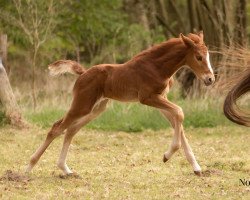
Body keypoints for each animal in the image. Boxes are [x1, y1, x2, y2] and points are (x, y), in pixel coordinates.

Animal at [26, 31, 215, 177]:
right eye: (198, 57)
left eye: (208, 56)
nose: (210, 79)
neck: (157, 66)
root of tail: (83, 73)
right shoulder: (148, 98)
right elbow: (180, 112)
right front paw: (167, 156)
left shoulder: (161, 98)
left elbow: (178, 121)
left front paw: (197, 168)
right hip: (82, 105)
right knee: (56, 128)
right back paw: (28, 168)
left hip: (96, 108)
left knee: (71, 130)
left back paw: (66, 169)